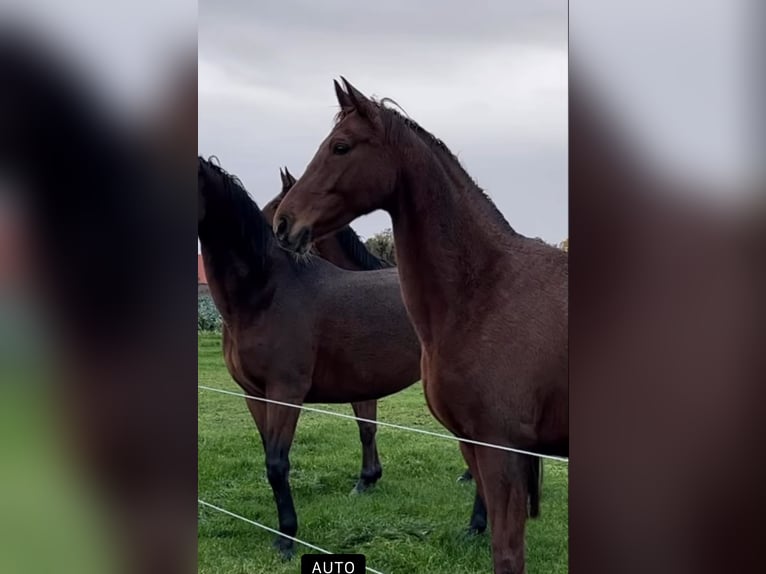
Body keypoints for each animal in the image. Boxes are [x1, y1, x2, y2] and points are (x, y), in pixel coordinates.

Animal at [198, 156, 486, 560]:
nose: (283, 231)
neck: (265, 292)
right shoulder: (254, 394)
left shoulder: (288, 393)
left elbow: (278, 463)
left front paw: (287, 538)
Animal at [272, 77, 568, 574]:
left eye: (341, 146)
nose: (283, 224)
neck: (486, 290)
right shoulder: (475, 444)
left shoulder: (502, 451)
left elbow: (508, 553)